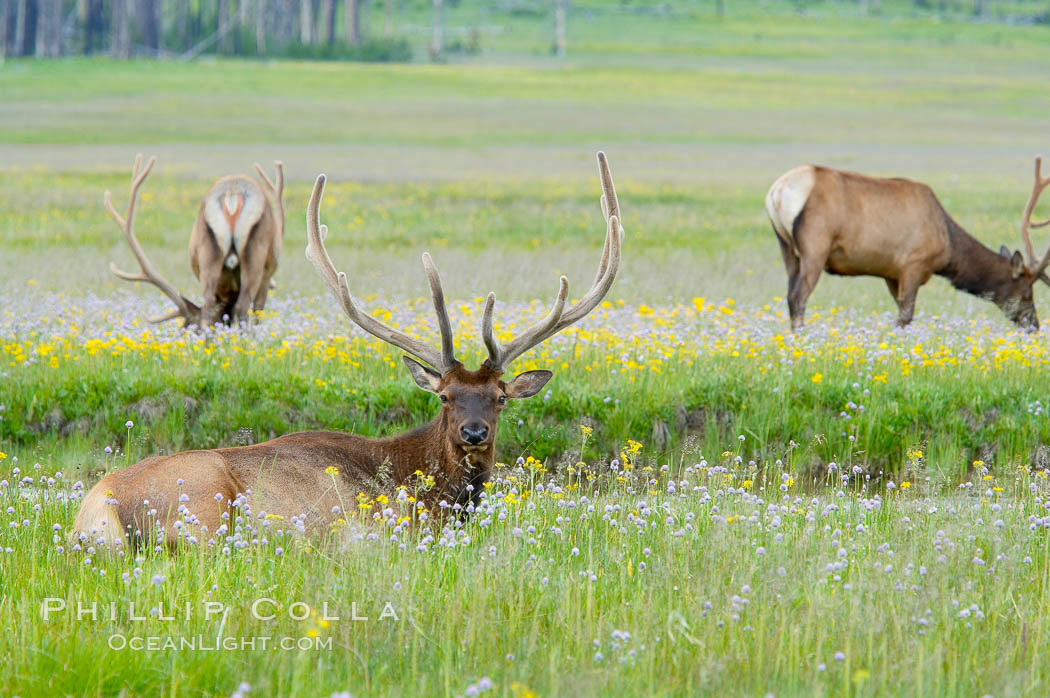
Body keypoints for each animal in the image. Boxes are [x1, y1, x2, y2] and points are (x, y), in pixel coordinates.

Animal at [105, 154, 283, 327]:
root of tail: (232, 196)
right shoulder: (267, 276)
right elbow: (257, 314)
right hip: (255, 258)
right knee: (241, 308)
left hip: (210, 254)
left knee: (210, 309)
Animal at [764, 159, 1050, 331]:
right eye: (1027, 292)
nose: (1034, 325)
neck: (947, 245)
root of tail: (776, 192)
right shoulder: (914, 264)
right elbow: (905, 316)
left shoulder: (892, 274)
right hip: (816, 245)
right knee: (798, 296)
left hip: (786, 248)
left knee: (790, 294)